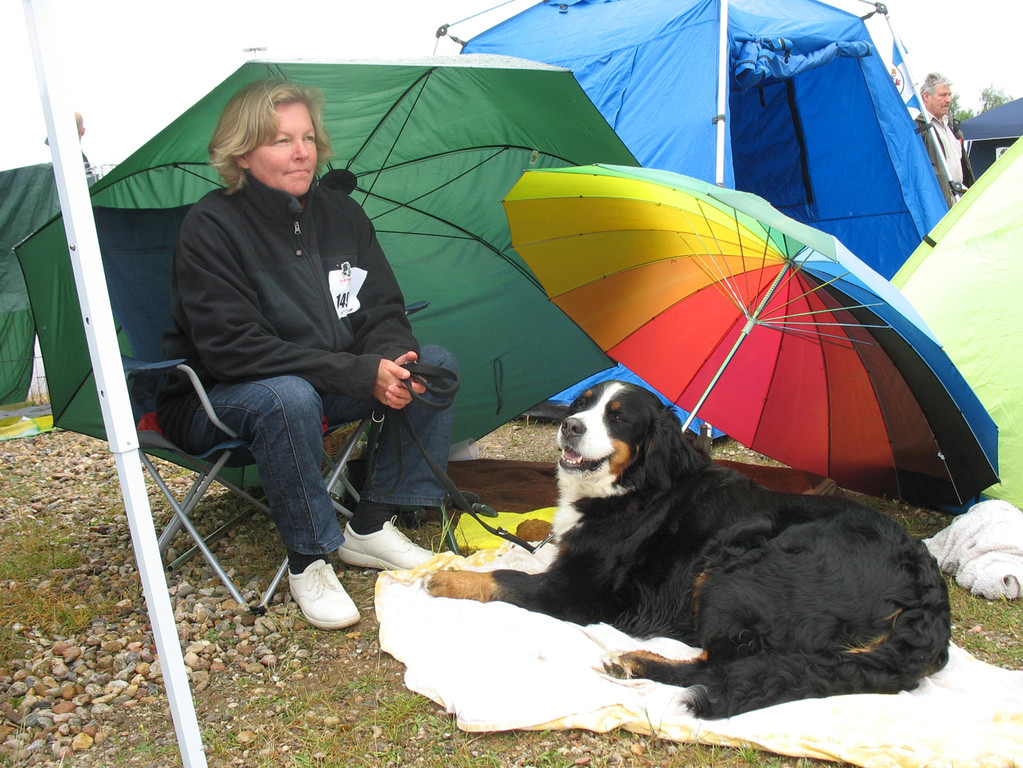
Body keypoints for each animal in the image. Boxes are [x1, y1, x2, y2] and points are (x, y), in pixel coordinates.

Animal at [425, 382, 949, 719]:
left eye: (618, 417)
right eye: (581, 403)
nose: (569, 425)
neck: (634, 487)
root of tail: (925, 592)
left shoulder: (576, 592)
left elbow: (504, 579)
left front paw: (446, 576)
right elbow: (537, 532)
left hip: (737, 567)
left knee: (720, 667)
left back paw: (635, 662)